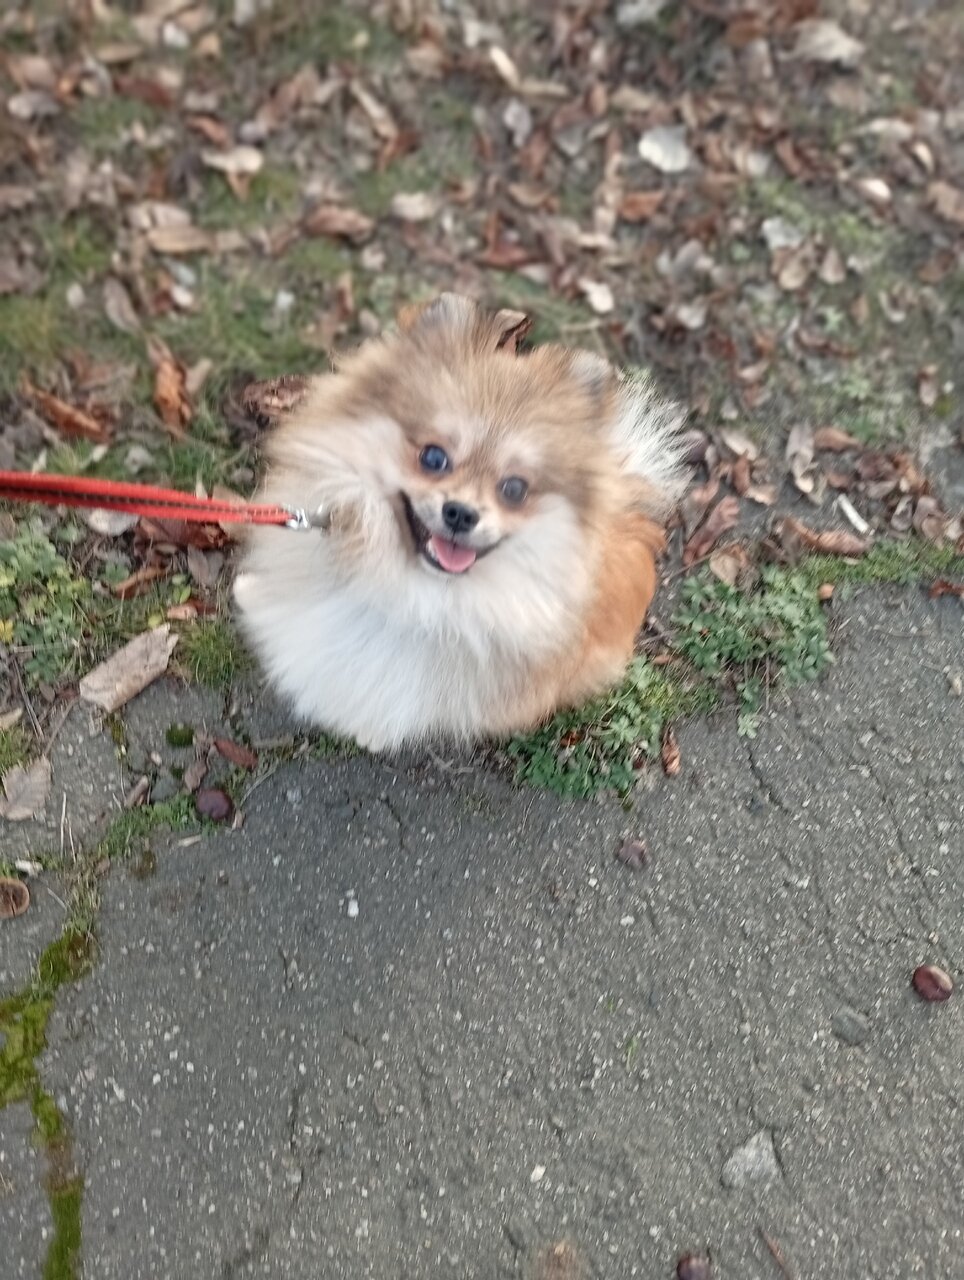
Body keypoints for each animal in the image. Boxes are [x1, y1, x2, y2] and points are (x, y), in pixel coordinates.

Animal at [233, 293, 687, 751]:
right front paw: (251, 594)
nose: (462, 513)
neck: (407, 587)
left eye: (514, 488)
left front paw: (370, 732)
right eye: (434, 457)